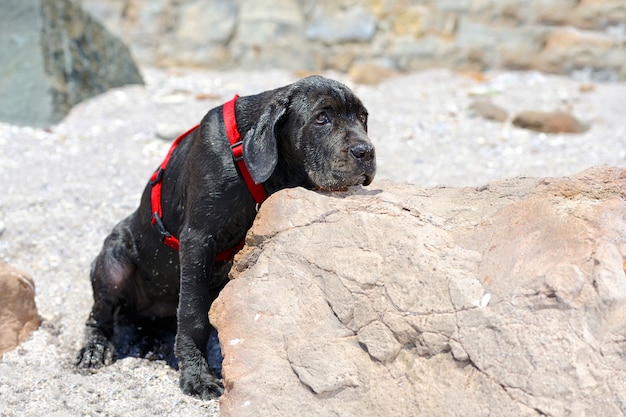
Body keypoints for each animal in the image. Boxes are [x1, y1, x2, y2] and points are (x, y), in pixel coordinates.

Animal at [75, 75, 372, 396]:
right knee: (100, 315)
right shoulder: (197, 239)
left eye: (363, 117)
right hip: (114, 262)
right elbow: (193, 314)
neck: (243, 152)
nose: (366, 152)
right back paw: (94, 349)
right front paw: (197, 376)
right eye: (321, 118)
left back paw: (152, 341)